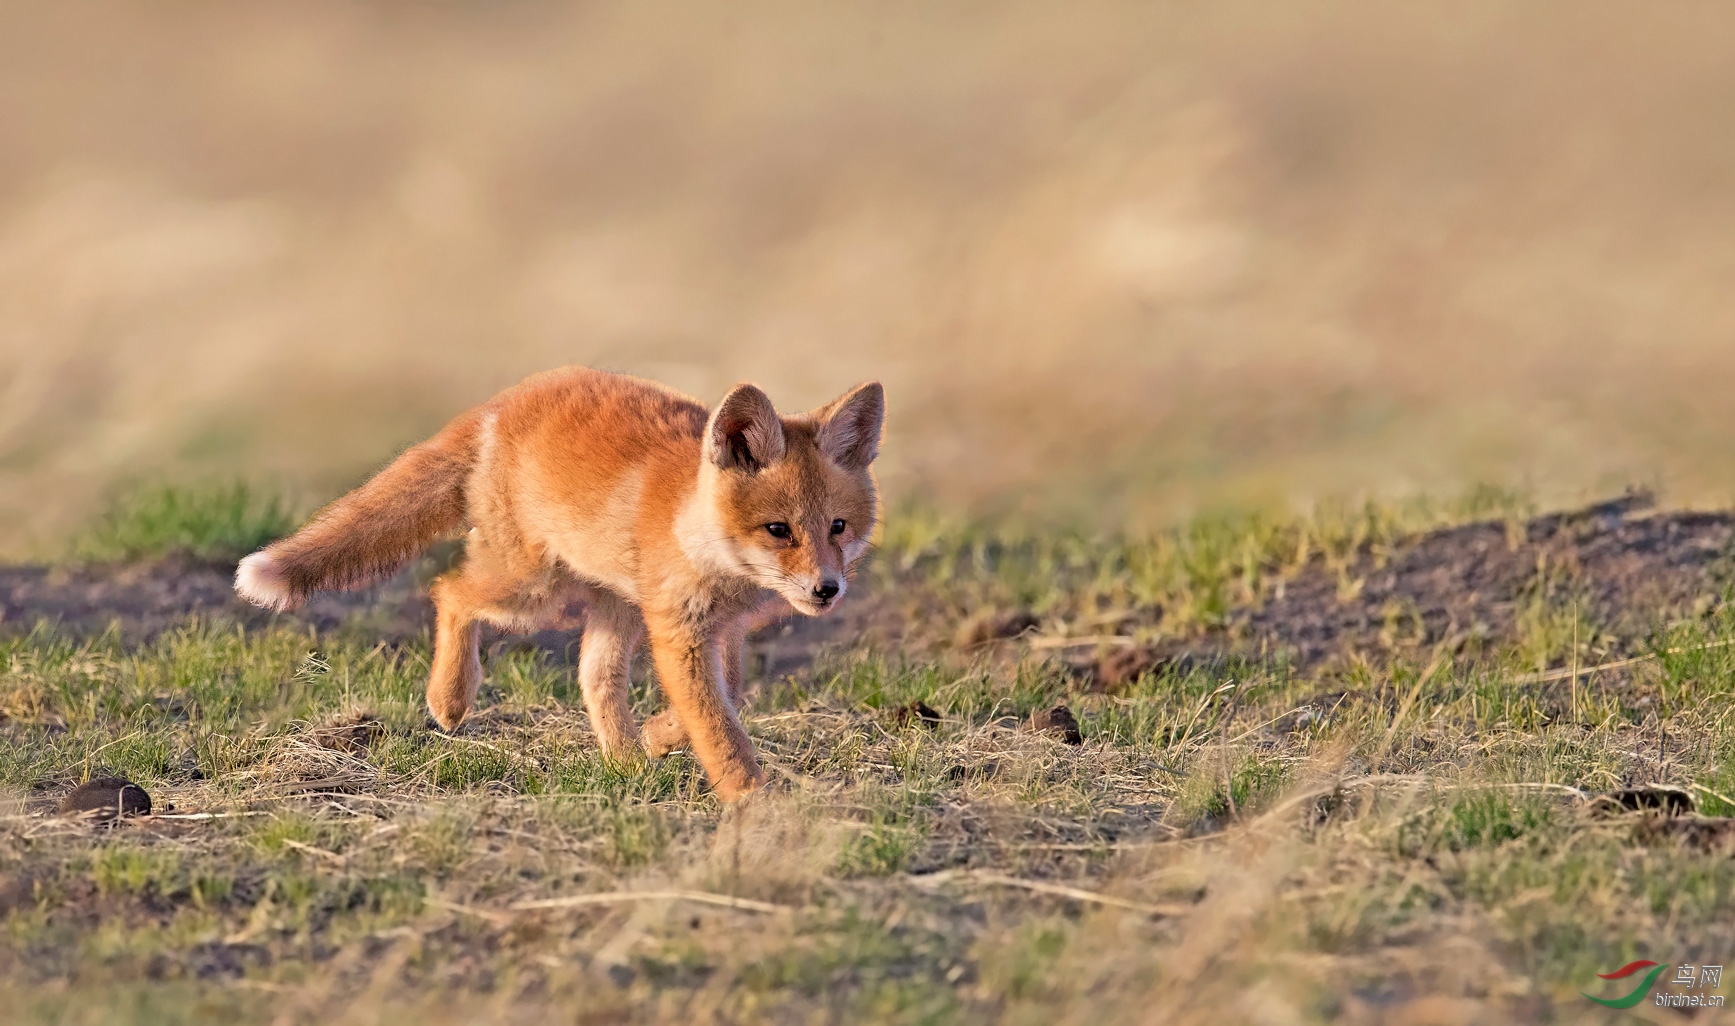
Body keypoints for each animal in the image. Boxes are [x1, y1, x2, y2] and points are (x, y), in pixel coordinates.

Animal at [234, 369, 881, 802]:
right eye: (778, 530)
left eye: (838, 527)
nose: (827, 590)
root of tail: (504, 400)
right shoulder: (679, 632)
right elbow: (719, 728)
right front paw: (752, 802)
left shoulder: (721, 630)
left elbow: (731, 697)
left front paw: (659, 736)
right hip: (532, 593)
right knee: (447, 589)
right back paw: (450, 698)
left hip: (609, 607)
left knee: (591, 676)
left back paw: (627, 763)